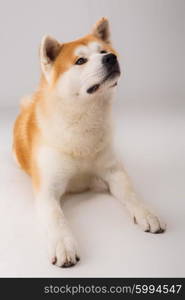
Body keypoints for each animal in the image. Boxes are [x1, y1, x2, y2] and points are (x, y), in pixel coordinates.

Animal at [13, 18, 166, 268]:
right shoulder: (47, 190)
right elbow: (56, 218)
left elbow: (131, 193)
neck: (83, 126)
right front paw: (63, 244)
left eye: (103, 51)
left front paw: (146, 212)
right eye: (80, 60)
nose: (111, 58)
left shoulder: (114, 172)